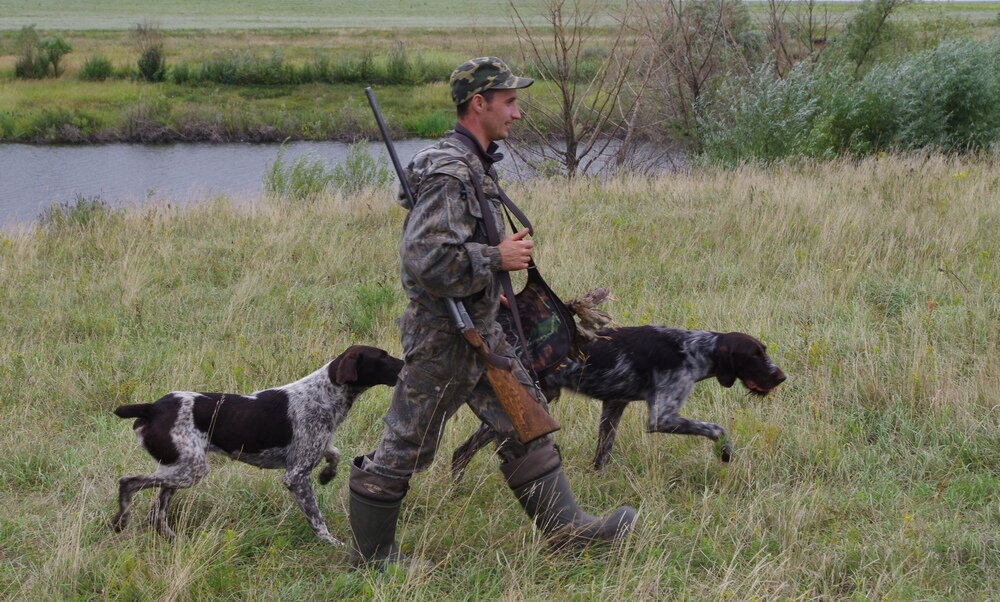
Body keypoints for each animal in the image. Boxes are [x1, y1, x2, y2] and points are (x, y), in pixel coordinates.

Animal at [112, 342, 402, 544]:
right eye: (382, 357)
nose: (405, 363)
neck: (324, 395)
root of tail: (153, 408)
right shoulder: (295, 476)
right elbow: (316, 517)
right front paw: (329, 542)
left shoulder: (313, 448)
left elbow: (335, 452)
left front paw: (327, 475)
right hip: (190, 471)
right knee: (128, 483)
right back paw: (120, 520)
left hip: (176, 468)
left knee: (156, 512)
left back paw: (171, 538)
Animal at [454, 326, 788, 476]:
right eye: (754, 355)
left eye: (763, 351)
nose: (781, 376)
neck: (694, 348)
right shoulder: (661, 417)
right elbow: (716, 428)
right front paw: (725, 452)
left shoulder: (614, 404)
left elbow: (603, 451)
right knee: (462, 450)